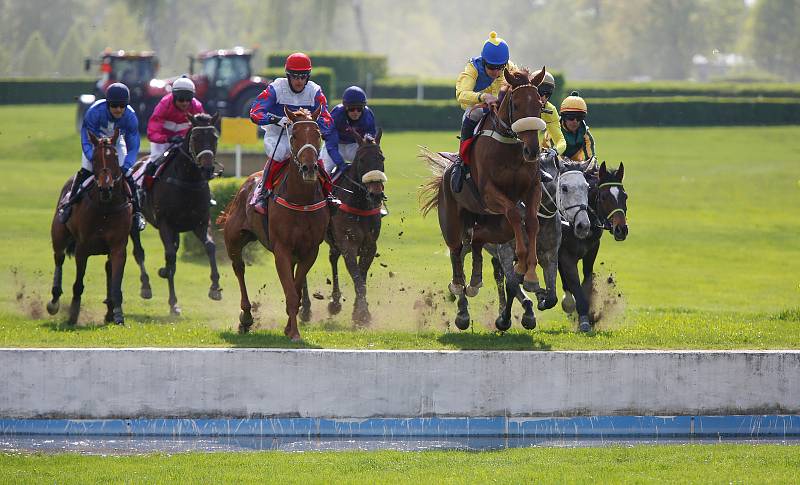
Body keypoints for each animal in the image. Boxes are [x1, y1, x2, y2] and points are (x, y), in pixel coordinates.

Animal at [47, 130, 133, 324]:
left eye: (115, 157)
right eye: (94, 159)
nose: (106, 188)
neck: (106, 207)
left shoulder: (118, 247)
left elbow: (116, 282)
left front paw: (118, 315)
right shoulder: (82, 247)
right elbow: (78, 284)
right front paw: (73, 314)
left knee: (108, 268)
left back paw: (109, 311)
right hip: (59, 237)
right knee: (59, 259)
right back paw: (54, 302)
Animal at [217, 106, 330, 340]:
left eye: (318, 135)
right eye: (294, 135)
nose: (309, 168)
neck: (301, 200)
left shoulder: (310, 250)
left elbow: (295, 289)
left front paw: (289, 328)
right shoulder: (282, 249)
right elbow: (291, 293)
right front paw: (294, 332)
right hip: (234, 239)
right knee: (239, 268)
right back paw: (246, 317)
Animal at [324, 130, 390, 324]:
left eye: (381, 158)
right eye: (361, 159)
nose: (376, 194)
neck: (359, 204)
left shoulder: (369, 245)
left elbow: (361, 278)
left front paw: (358, 312)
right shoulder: (348, 244)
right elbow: (357, 278)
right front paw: (363, 314)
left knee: (332, 258)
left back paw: (335, 302)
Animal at [560, 161, 628, 330]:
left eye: (625, 196)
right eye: (603, 197)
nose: (621, 229)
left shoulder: (592, 250)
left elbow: (587, 281)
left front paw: (588, 315)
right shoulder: (565, 254)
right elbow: (574, 283)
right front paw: (584, 320)